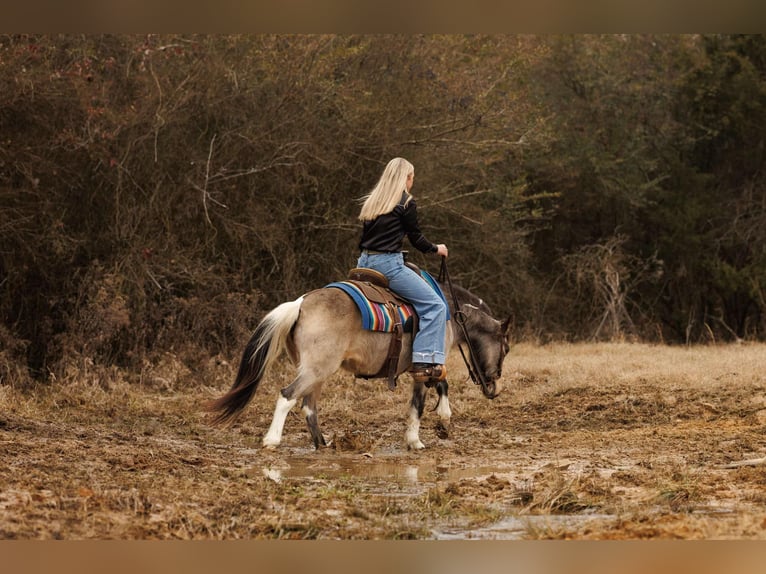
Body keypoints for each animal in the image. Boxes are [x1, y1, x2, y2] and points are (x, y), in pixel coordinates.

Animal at [207, 274, 512, 450]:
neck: (448, 311)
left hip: (316, 372)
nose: (494, 388)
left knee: (308, 406)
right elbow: (425, 399)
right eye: (506, 348)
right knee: (287, 396)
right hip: (316, 369)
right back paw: (272, 440)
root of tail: (301, 303)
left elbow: (431, 392)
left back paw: (323, 444)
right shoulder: (425, 365)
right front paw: (426, 434)